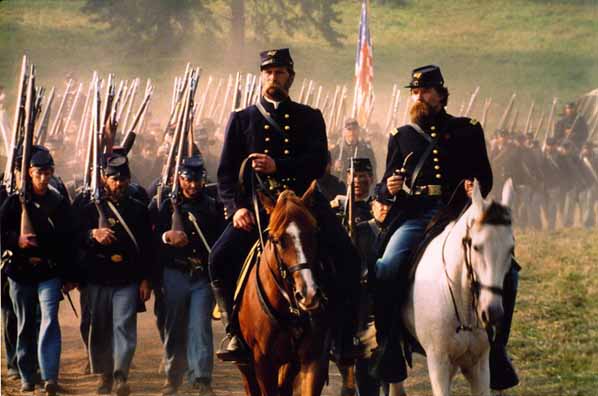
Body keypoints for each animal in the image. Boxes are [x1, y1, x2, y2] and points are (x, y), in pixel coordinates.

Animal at [237, 182, 332, 396]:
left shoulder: (313, 359)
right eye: (278, 240)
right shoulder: (263, 364)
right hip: (247, 368)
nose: (309, 294)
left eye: (314, 233)